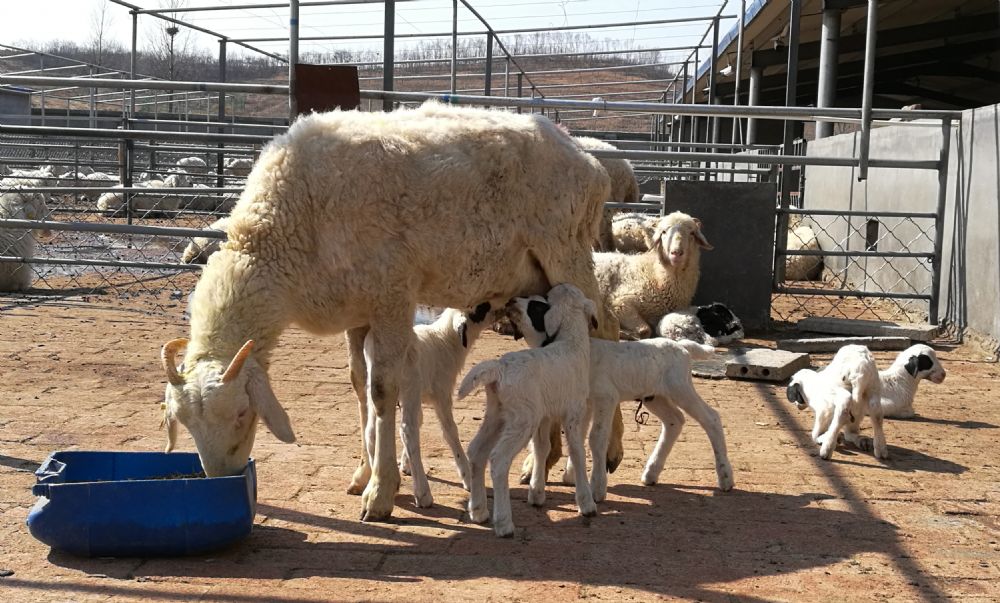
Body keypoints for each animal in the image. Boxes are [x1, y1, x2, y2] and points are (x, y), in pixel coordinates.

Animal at [160, 100, 616, 524]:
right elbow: (359, 388)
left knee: (602, 336)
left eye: (241, 412)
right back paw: (543, 461)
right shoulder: (357, 309)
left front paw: (381, 493)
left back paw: (597, 462)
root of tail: (587, 158)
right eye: (186, 423)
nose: (222, 476)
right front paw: (364, 474)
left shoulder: (392, 295)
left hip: (568, 252)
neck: (284, 236)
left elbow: (382, 393)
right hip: (538, 281)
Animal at [592, 211, 712, 340]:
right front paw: (623, 333)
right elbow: (645, 330)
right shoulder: (620, 303)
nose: (676, 253)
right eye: (663, 232)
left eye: (692, 233)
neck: (656, 277)